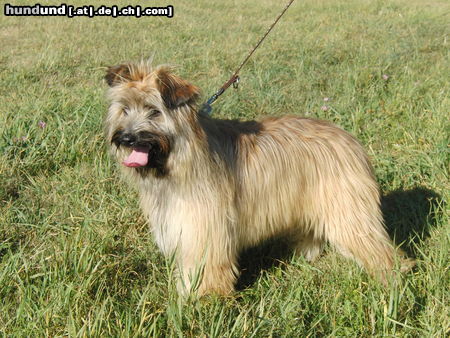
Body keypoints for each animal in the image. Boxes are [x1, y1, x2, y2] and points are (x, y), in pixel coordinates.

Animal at [103, 60, 414, 296]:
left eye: (154, 111)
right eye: (124, 109)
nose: (126, 138)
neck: (181, 160)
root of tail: (348, 138)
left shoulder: (206, 230)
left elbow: (206, 270)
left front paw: (202, 302)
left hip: (348, 210)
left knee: (378, 248)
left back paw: (392, 281)